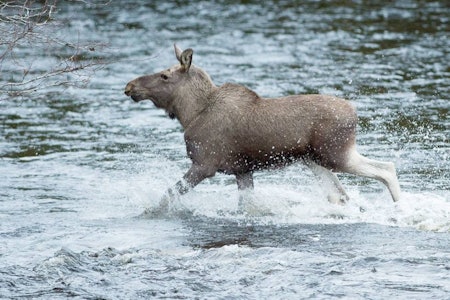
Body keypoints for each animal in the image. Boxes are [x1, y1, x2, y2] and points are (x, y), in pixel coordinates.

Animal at [124, 44, 400, 213]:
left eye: (165, 76)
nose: (129, 86)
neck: (190, 113)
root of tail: (354, 112)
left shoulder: (204, 164)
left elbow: (167, 196)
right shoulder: (242, 170)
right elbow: (248, 207)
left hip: (335, 154)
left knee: (386, 168)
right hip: (314, 159)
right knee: (339, 194)